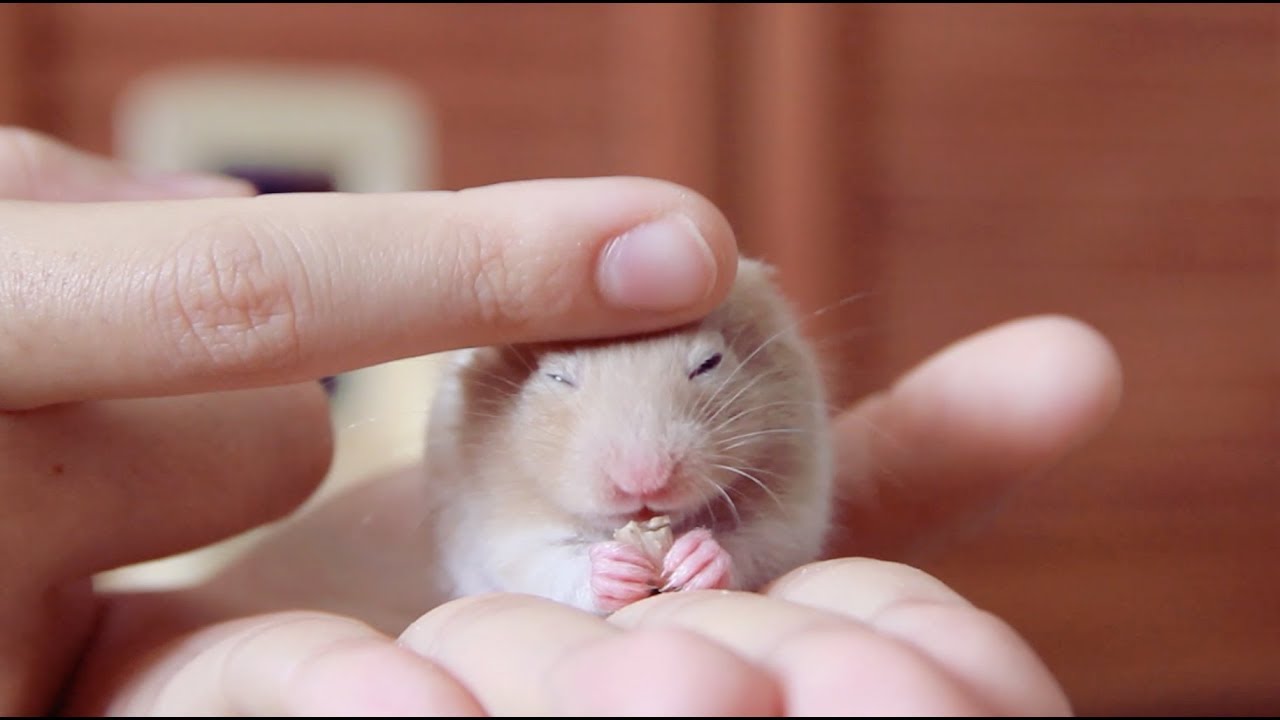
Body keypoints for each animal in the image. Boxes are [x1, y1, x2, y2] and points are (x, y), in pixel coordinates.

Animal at [422, 257, 835, 615]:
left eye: (709, 363)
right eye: (557, 377)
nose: (644, 482)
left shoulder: (791, 510)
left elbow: (754, 543)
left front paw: (695, 559)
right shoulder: (504, 534)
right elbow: (548, 561)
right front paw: (616, 571)